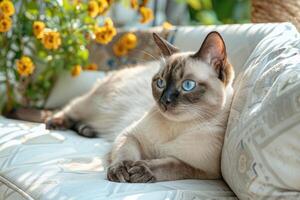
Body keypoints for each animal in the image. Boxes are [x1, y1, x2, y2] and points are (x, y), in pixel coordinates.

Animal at [46, 31, 234, 183]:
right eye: (160, 83)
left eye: (188, 85)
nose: (164, 100)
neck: (177, 127)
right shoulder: (129, 135)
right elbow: (125, 155)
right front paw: (122, 170)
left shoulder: (203, 170)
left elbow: (173, 165)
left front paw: (143, 170)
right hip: (92, 105)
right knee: (69, 110)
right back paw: (56, 124)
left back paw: (87, 130)